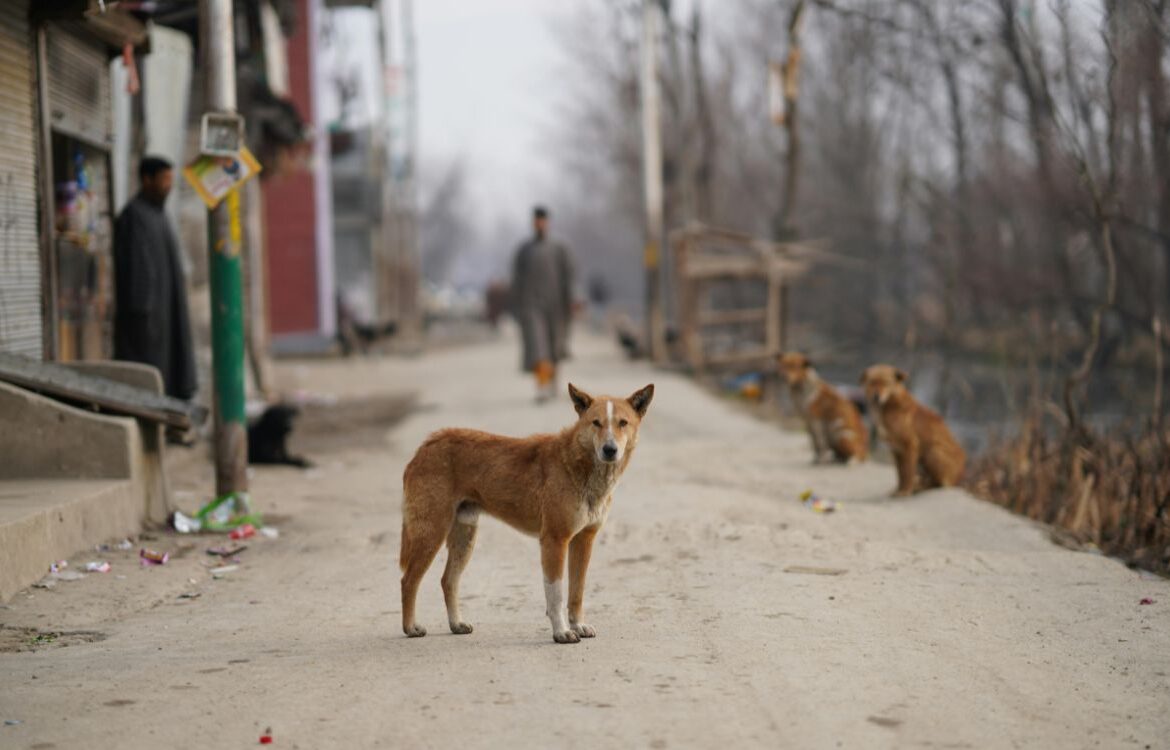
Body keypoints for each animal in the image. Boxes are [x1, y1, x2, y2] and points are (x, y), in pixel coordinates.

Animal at [397, 383, 655, 641]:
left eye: (623, 423)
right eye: (596, 423)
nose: (610, 449)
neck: (579, 465)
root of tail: (424, 447)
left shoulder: (584, 540)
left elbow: (577, 591)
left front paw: (578, 625)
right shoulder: (555, 540)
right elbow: (556, 594)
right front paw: (562, 632)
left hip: (465, 537)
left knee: (448, 580)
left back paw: (456, 624)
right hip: (431, 532)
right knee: (408, 581)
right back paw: (411, 627)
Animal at [856, 365, 964, 493]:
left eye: (886, 383)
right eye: (872, 382)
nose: (876, 396)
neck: (889, 405)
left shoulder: (909, 445)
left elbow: (907, 472)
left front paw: (904, 491)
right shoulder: (896, 449)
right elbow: (901, 473)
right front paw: (898, 490)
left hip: (932, 452)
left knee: (939, 483)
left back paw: (919, 487)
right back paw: (918, 485)